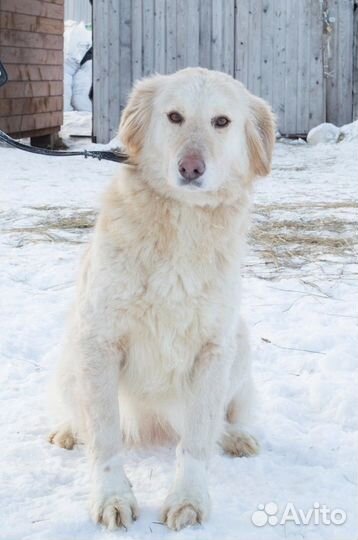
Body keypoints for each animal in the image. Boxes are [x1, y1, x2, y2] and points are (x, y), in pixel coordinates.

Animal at [49, 67, 274, 532]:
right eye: (174, 116)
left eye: (221, 122)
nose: (190, 167)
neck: (182, 223)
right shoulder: (99, 342)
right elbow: (105, 437)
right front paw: (112, 497)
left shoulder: (212, 349)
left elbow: (197, 441)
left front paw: (189, 499)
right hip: (70, 355)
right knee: (80, 415)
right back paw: (70, 430)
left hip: (239, 345)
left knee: (222, 419)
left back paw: (236, 435)